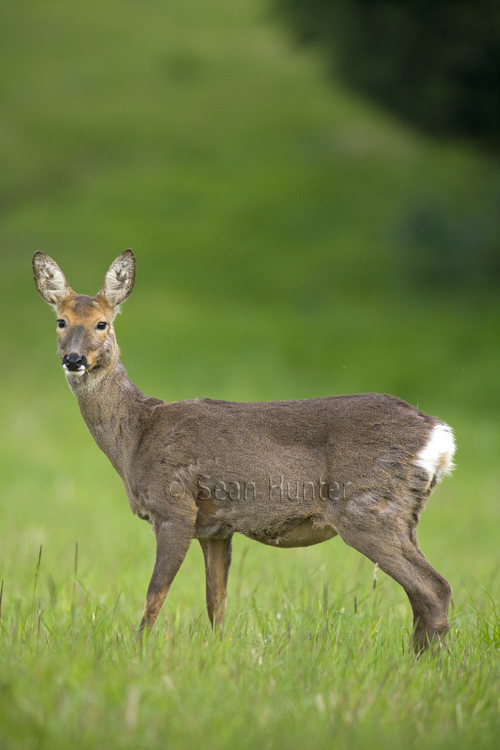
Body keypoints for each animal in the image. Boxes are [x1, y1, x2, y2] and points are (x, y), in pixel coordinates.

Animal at [33, 251, 456, 652]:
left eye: (102, 323)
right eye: (61, 321)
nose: (74, 359)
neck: (135, 435)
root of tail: (440, 437)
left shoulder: (174, 508)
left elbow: (155, 596)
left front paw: (137, 653)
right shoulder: (216, 528)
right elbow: (216, 604)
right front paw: (219, 654)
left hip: (367, 509)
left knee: (434, 588)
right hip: (404, 516)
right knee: (421, 594)